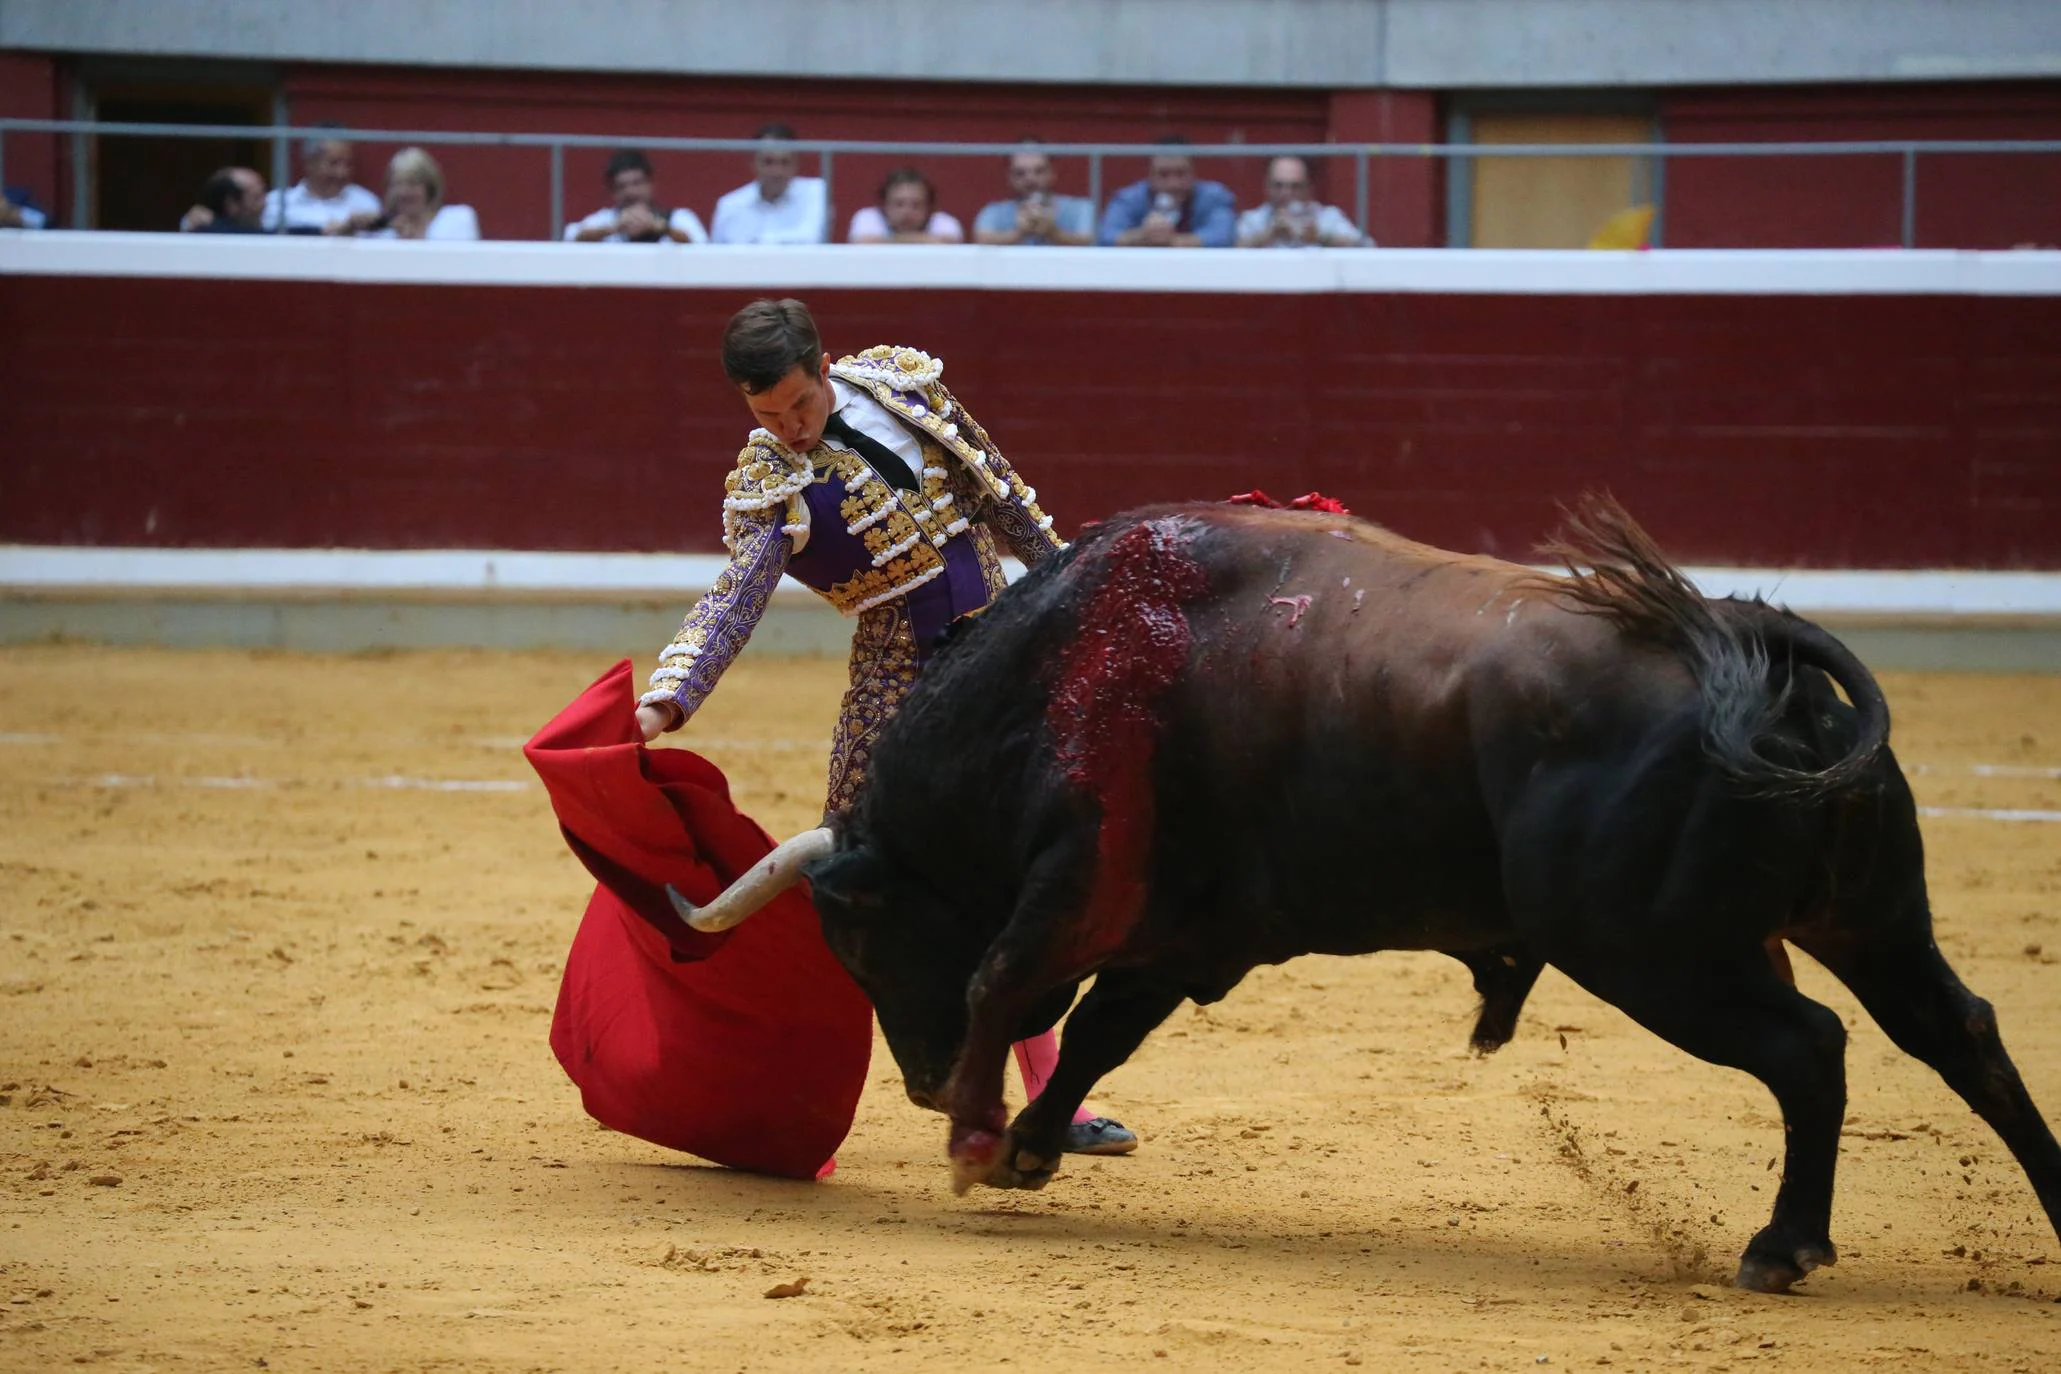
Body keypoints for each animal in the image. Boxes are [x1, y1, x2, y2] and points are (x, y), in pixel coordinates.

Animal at [667, 500, 2052, 1293]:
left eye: (858, 939)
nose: (911, 1084)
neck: (1063, 669)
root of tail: (1746, 652)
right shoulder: (1183, 930)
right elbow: (1101, 1029)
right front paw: (1024, 1147)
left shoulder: (1085, 880)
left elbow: (1013, 978)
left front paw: (976, 1145)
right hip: (1863, 917)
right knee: (1961, 1031)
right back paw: (2049, 1208)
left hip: (1657, 955)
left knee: (1811, 1049)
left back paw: (1782, 1247)